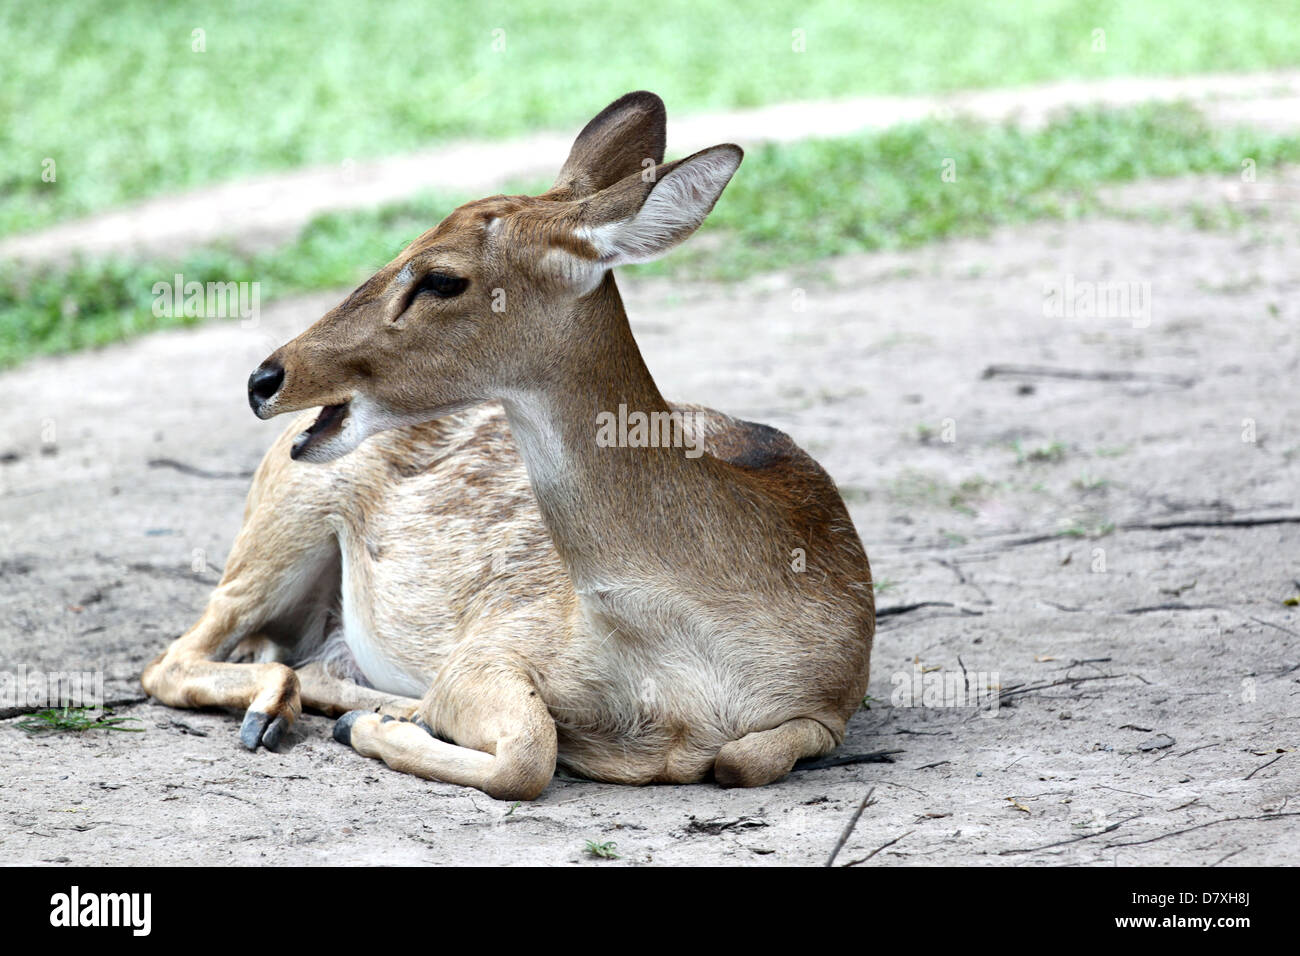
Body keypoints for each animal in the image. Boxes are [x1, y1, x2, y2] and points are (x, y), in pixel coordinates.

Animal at [139, 93, 873, 806]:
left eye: (440, 278)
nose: (265, 379)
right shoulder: (492, 645)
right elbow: (529, 752)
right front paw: (382, 724)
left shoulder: (834, 699)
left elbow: (742, 758)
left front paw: (382, 720)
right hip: (277, 527)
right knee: (175, 659)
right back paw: (295, 712)